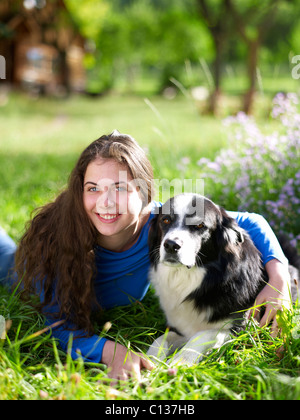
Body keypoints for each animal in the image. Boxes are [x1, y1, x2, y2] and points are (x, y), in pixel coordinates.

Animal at [146, 193, 298, 364]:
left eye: (200, 225)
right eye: (165, 220)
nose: (171, 245)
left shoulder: (242, 329)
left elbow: (202, 335)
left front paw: (179, 362)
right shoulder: (180, 328)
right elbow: (161, 339)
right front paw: (150, 360)